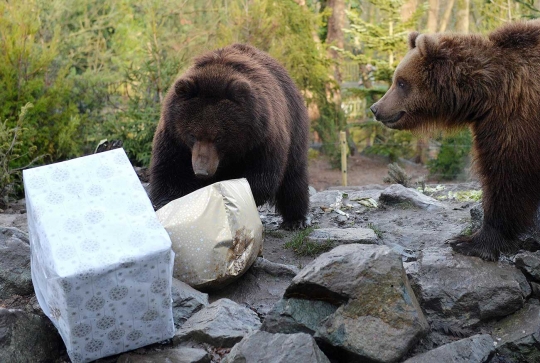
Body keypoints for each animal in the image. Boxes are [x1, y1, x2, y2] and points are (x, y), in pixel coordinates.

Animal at [148, 43, 310, 230]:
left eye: (218, 137)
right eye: (192, 135)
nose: (201, 171)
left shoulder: (261, 140)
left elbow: (260, 177)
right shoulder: (174, 138)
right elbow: (171, 173)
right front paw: (170, 206)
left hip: (294, 126)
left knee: (293, 176)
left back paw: (295, 220)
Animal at [372, 20, 540, 262]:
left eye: (401, 82)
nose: (375, 108)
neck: (486, 94)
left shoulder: (516, 117)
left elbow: (508, 176)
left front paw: (470, 242)